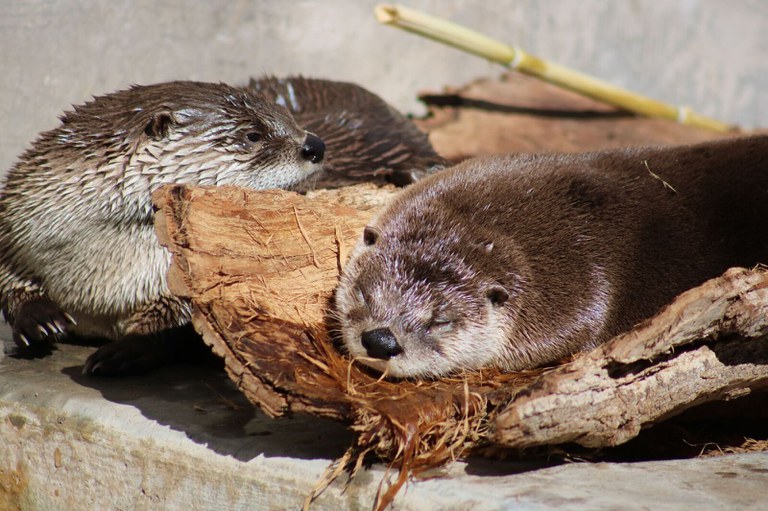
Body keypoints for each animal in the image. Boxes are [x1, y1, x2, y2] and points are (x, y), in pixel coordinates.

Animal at [0, 81, 328, 376]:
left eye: (290, 119)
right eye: (254, 135)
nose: (316, 146)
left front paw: (124, 351)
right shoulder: (17, 228)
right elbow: (11, 281)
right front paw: (40, 318)